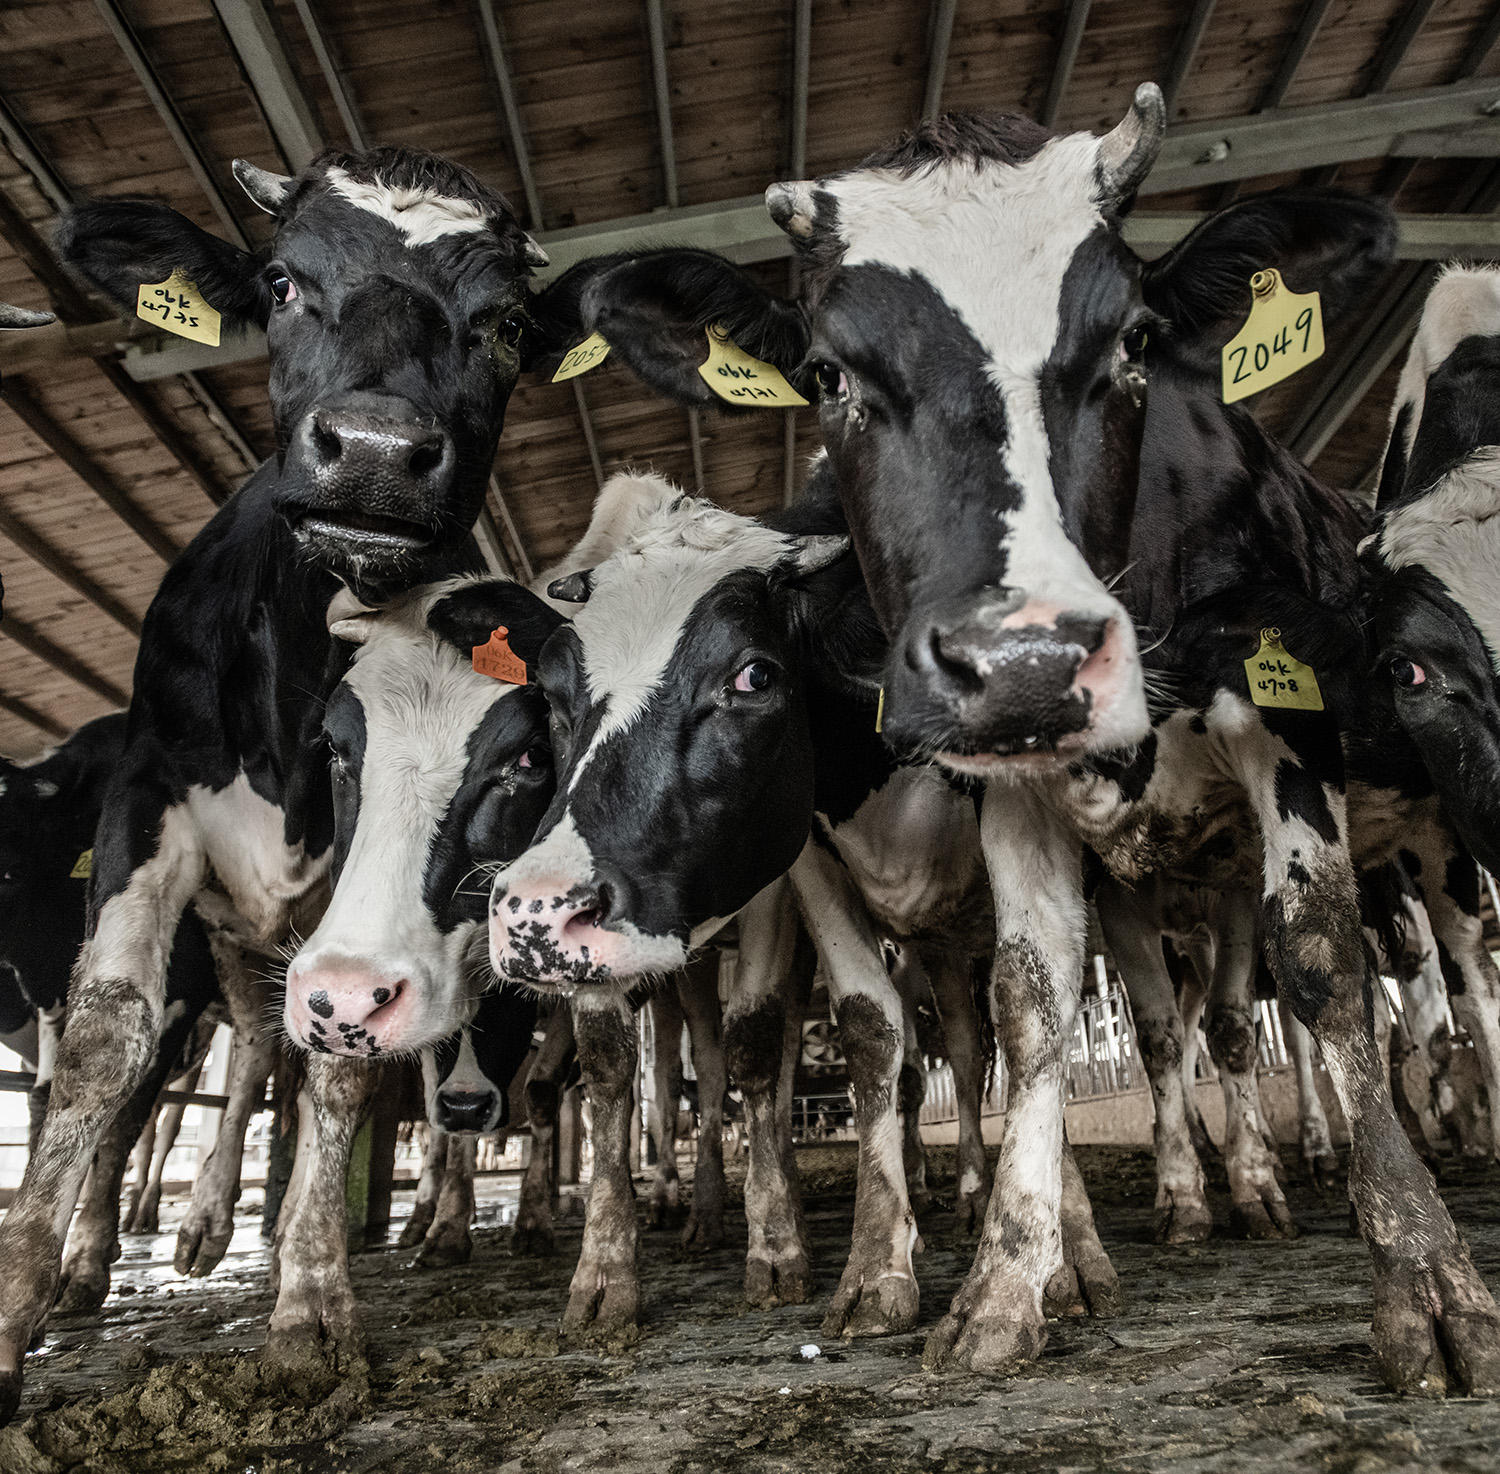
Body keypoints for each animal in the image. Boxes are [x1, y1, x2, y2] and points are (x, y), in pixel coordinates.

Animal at [0, 143, 586, 1427]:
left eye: (507, 324)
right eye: (280, 284)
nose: (370, 450)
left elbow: (339, 1064)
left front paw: (311, 1302)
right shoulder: (150, 797)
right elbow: (105, 1045)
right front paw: (17, 1307)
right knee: (210, 1066)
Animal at [510, 99, 1500, 1395]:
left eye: (1135, 342)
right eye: (827, 373)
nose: (1024, 657)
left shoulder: (1283, 733)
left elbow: (1326, 968)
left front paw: (1429, 1278)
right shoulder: (923, 831)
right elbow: (998, 1011)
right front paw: (987, 1277)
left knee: (1383, 983)